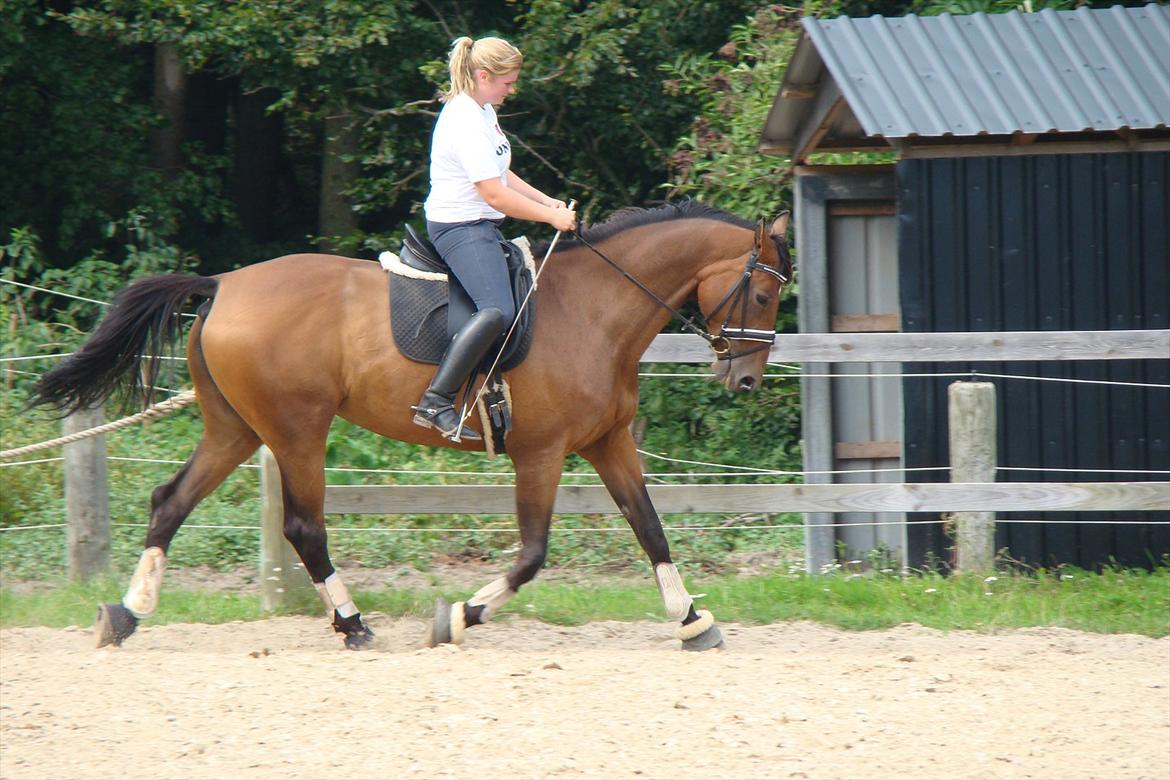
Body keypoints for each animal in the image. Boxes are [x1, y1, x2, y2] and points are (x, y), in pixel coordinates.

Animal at [29, 201, 795, 654]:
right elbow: (532, 554)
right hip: (297, 430)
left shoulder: (607, 444)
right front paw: (457, 616)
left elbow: (651, 528)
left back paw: (127, 614)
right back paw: (352, 624)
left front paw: (693, 619)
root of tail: (222, 284)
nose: (747, 380)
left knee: (171, 502)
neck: (595, 309)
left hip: (235, 430)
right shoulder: (541, 453)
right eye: (762, 291)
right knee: (303, 527)